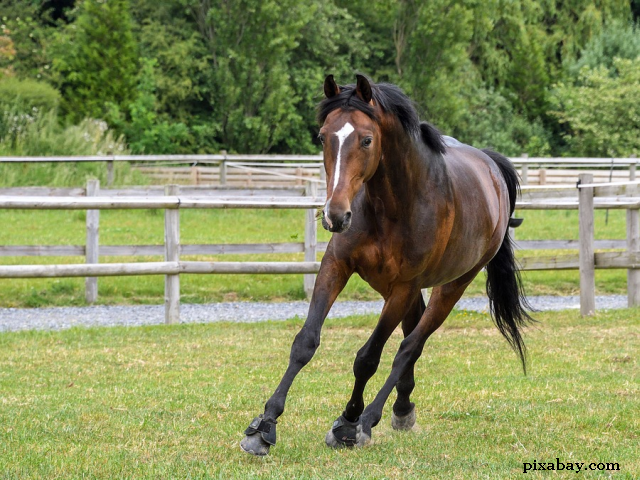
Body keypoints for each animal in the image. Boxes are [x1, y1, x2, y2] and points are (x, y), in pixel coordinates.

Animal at [240, 74, 528, 454]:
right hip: (397, 288)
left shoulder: (403, 286)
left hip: (450, 286)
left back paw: (370, 418)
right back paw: (402, 408)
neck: (394, 204)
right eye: (323, 137)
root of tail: (492, 169)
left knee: (410, 347)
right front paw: (264, 426)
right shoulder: (337, 265)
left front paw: (349, 423)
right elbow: (305, 343)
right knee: (410, 337)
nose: (335, 216)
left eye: (367, 139)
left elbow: (368, 358)